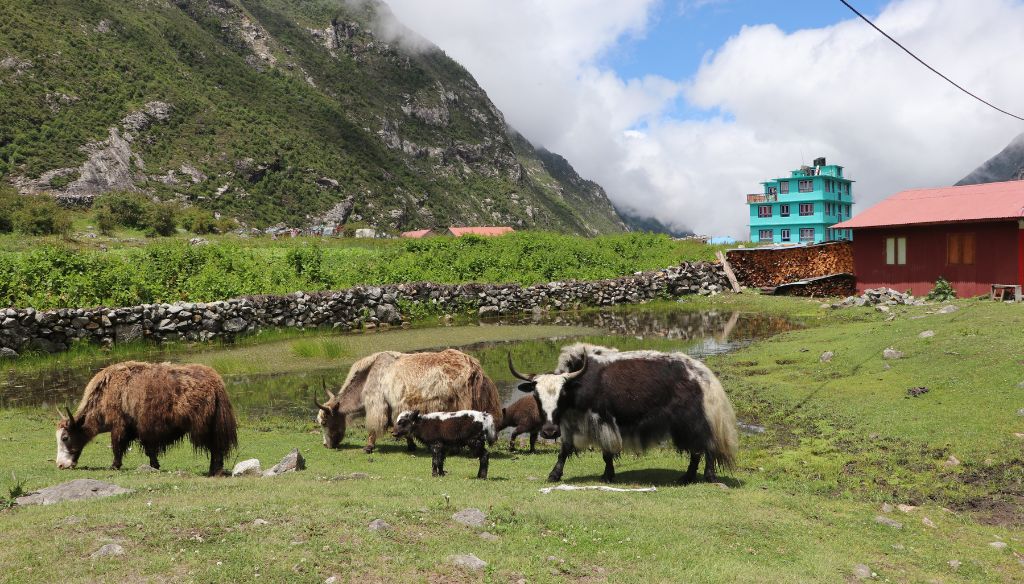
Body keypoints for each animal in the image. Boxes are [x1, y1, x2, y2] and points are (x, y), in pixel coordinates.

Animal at [55, 356, 236, 475]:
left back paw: (214, 471)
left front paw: (114, 466)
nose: (60, 465)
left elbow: (117, 446)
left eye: (65, 437)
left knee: (215, 447)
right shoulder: (141, 429)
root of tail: (216, 382)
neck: (105, 393)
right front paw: (155, 466)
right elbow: (149, 450)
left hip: (205, 426)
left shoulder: (119, 425)